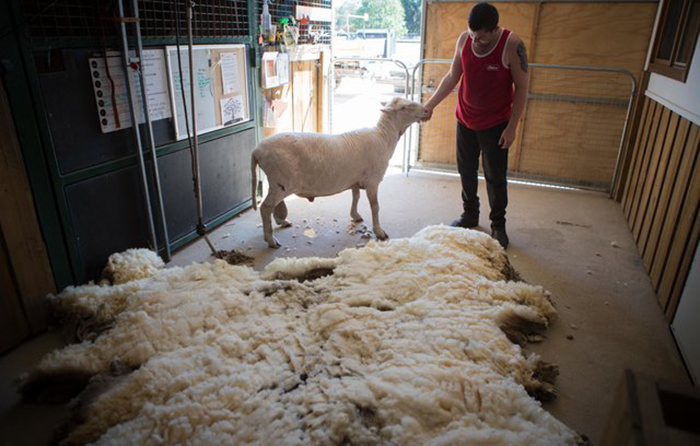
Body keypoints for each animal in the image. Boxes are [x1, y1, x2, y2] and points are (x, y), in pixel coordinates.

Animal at [252, 97, 426, 247]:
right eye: (404, 107)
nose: (426, 110)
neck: (383, 137)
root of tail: (257, 151)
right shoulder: (373, 181)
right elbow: (375, 206)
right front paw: (379, 231)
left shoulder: (356, 179)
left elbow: (356, 196)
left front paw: (355, 215)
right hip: (281, 183)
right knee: (265, 208)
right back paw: (270, 240)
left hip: (277, 183)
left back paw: (282, 222)